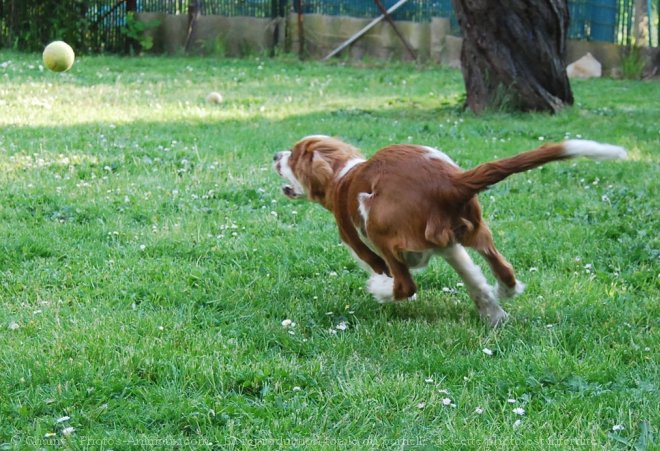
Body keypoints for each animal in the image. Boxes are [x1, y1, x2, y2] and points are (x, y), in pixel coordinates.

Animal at [272, 136, 624, 326]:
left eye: (294, 156)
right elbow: (474, 278)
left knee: (405, 284)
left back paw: (381, 289)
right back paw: (500, 302)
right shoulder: (447, 244)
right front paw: (491, 311)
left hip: (374, 219)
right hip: (474, 228)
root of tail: (449, 182)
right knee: (504, 269)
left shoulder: (353, 237)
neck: (344, 175)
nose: (276, 155)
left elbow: (379, 264)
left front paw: (380, 280)